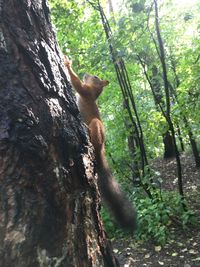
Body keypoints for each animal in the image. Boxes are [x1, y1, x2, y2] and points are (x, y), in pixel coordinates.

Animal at [65, 56, 137, 230]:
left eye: (96, 76)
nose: (86, 73)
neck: (94, 91)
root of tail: (101, 149)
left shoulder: (85, 91)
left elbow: (77, 84)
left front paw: (67, 63)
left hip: (96, 125)